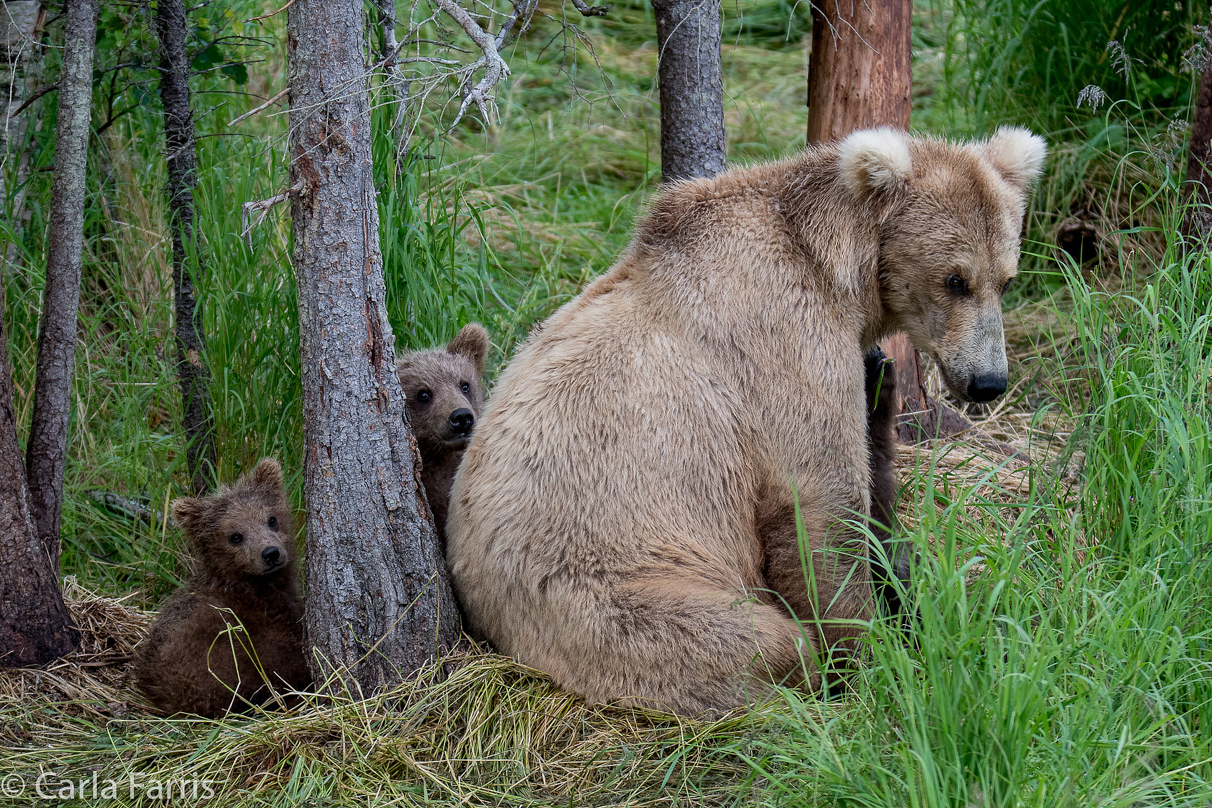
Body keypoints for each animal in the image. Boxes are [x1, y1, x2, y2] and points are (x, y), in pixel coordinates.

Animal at [446, 126, 1042, 712]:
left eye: (1006, 279)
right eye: (955, 279)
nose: (988, 381)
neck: (837, 269)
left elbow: (873, 473)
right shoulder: (784, 341)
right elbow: (818, 505)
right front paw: (868, 652)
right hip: (611, 594)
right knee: (751, 639)